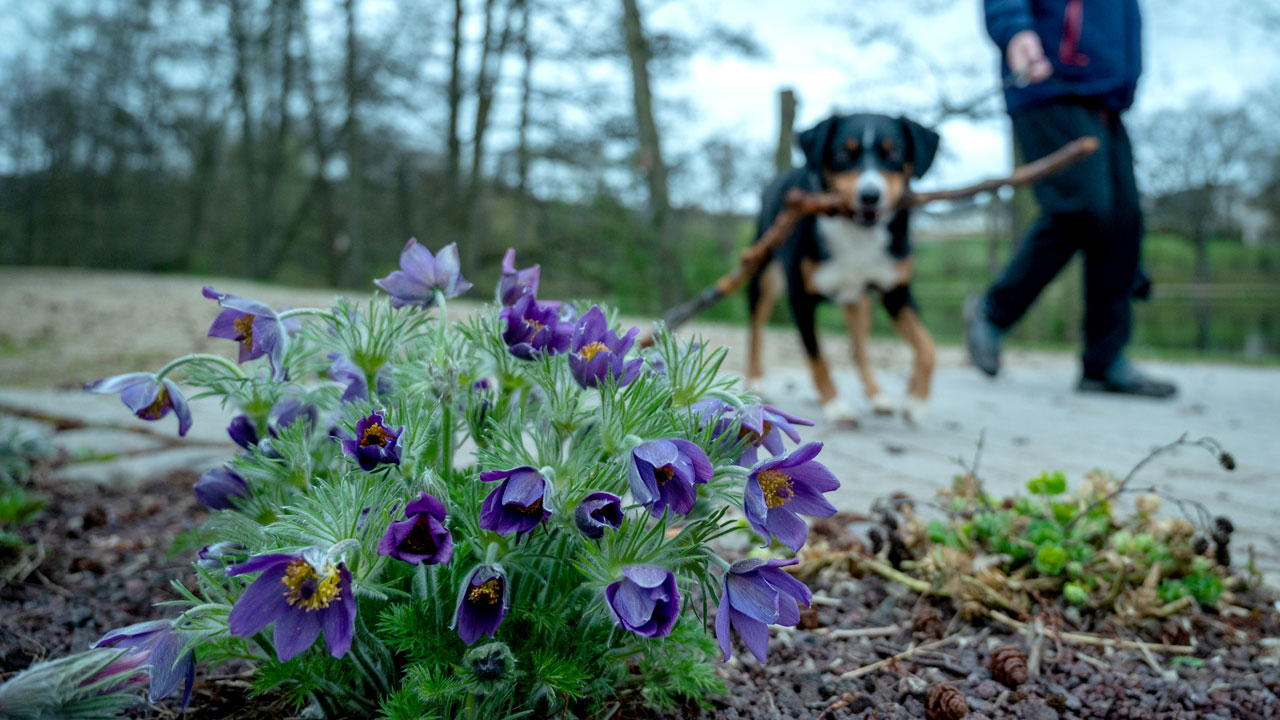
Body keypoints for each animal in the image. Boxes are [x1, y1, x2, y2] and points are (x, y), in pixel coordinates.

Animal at [747, 114, 942, 422]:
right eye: (842, 153)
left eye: (893, 153)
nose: (870, 195)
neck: (857, 233)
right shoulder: (801, 298)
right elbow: (817, 358)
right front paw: (835, 404)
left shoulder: (896, 293)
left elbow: (927, 347)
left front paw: (915, 401)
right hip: (763, 275)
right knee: (756, 330)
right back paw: (754, 380)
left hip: (859, 302)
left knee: (859, 349)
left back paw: (876, 395)